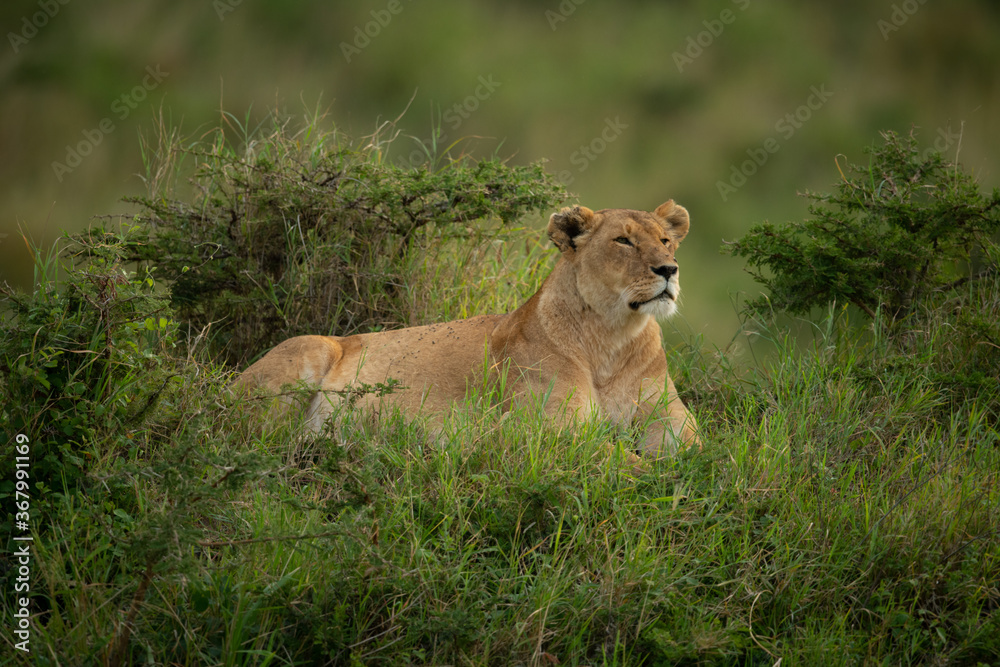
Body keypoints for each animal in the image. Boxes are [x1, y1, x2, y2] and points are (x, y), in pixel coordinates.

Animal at [232, 200, 700, 455]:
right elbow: (626, 463)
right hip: (308, 352)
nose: (669, 269)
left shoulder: (672, 421)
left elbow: (697, 456)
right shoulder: (548, 432)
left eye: (666, 241)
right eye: (623, 241)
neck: (612, 338)